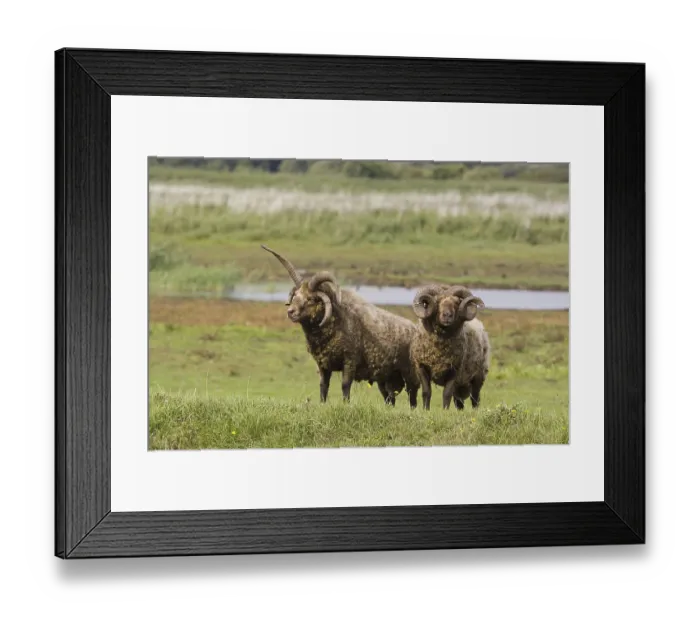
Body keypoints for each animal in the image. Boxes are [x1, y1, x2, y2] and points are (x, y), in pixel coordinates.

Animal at [261, 244, 420, 407]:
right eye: (295, 295)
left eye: (310, 298)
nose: (290, 312)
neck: (336, 322)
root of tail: (415, 330)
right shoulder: (322, 364)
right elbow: (323, 386)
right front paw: (323, 404)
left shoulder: (349, 360)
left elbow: (345, 385)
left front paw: (346, 404)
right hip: (385, 378)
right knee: (390, 399)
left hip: (410, 374)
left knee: (413, 396)